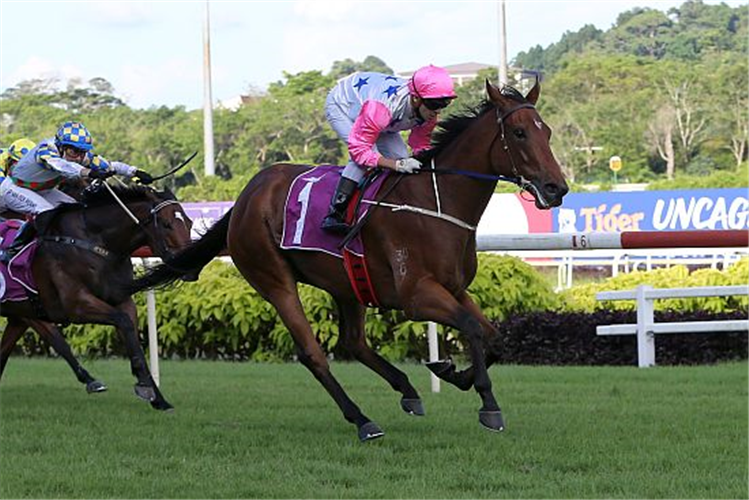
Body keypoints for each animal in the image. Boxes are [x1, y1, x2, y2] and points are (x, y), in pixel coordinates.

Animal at [0, 184, 193, 410]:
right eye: (166, 224)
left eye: (189, 222)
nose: (190, 269)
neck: (94, 243)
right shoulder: (75, 304)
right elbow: (119, 322)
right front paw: (142, 385)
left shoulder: (120, 300)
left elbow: (131, 335)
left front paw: (157, 397)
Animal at [130, 81, 568, 438]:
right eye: (519, 132)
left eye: (546, 131)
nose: (556, 188)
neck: (435, 201)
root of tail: (245, 197)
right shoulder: (417, 296)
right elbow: (473, 330)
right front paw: (487, 404)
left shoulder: (455, 288)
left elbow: (493, 337)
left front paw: (452, 372)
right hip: (273, 278)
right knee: (313, 352)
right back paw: (362, 420)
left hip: (346, 282)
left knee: (353, 342)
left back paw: (407, 391)